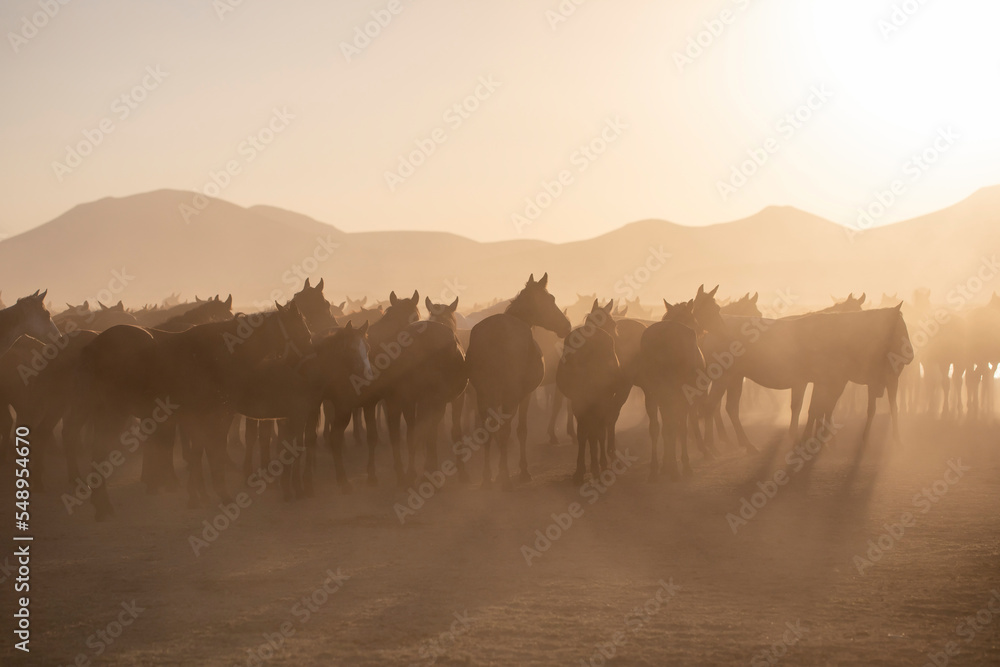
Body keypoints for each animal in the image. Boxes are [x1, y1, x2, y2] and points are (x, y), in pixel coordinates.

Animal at [462, 272, 568, 490]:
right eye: (550, 299)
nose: (567, 325)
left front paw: (496, 473)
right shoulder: (524, 394)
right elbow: (521, 430)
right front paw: (522, 470)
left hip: (484, 394)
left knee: (488, 431)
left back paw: (487, 477)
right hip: (507, 395)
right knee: (505, 430)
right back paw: (504, 477)